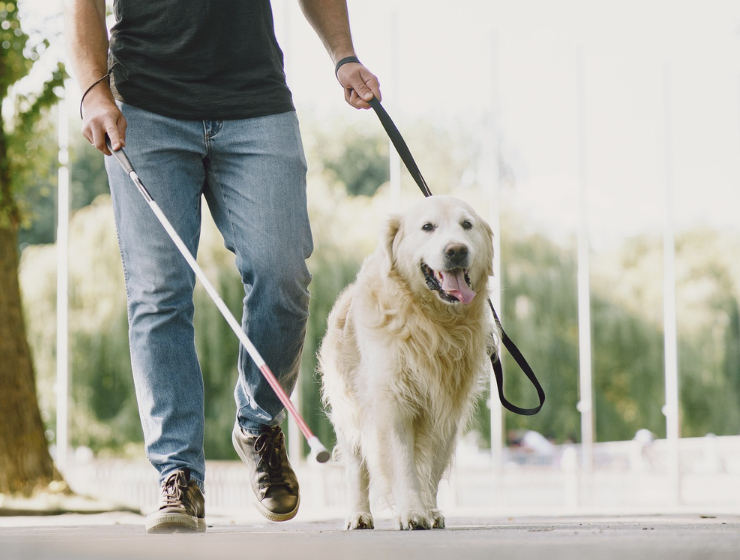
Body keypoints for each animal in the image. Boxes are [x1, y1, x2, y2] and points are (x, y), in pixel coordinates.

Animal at [320, 194, 498, 528]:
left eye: (467, 224)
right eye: (428, 227)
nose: (457, 250)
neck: (432, 322)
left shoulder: (447, 409)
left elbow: (432, 467)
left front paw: (428, 509)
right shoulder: (393, 401)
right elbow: (402, 463)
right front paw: (413, 512)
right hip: (349, 409)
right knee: (357, 467)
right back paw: (359, 515)